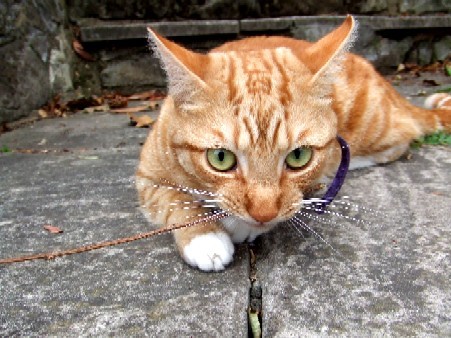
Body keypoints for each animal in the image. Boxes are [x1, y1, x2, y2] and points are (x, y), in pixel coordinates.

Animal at [136, 15, 450, 272]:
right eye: (221, 158)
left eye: (298, 156)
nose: (263, 213)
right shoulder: (147, 178)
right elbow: (176, 201)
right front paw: (205, 238)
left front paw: (236, 225)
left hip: (375, 128)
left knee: (402, 135)